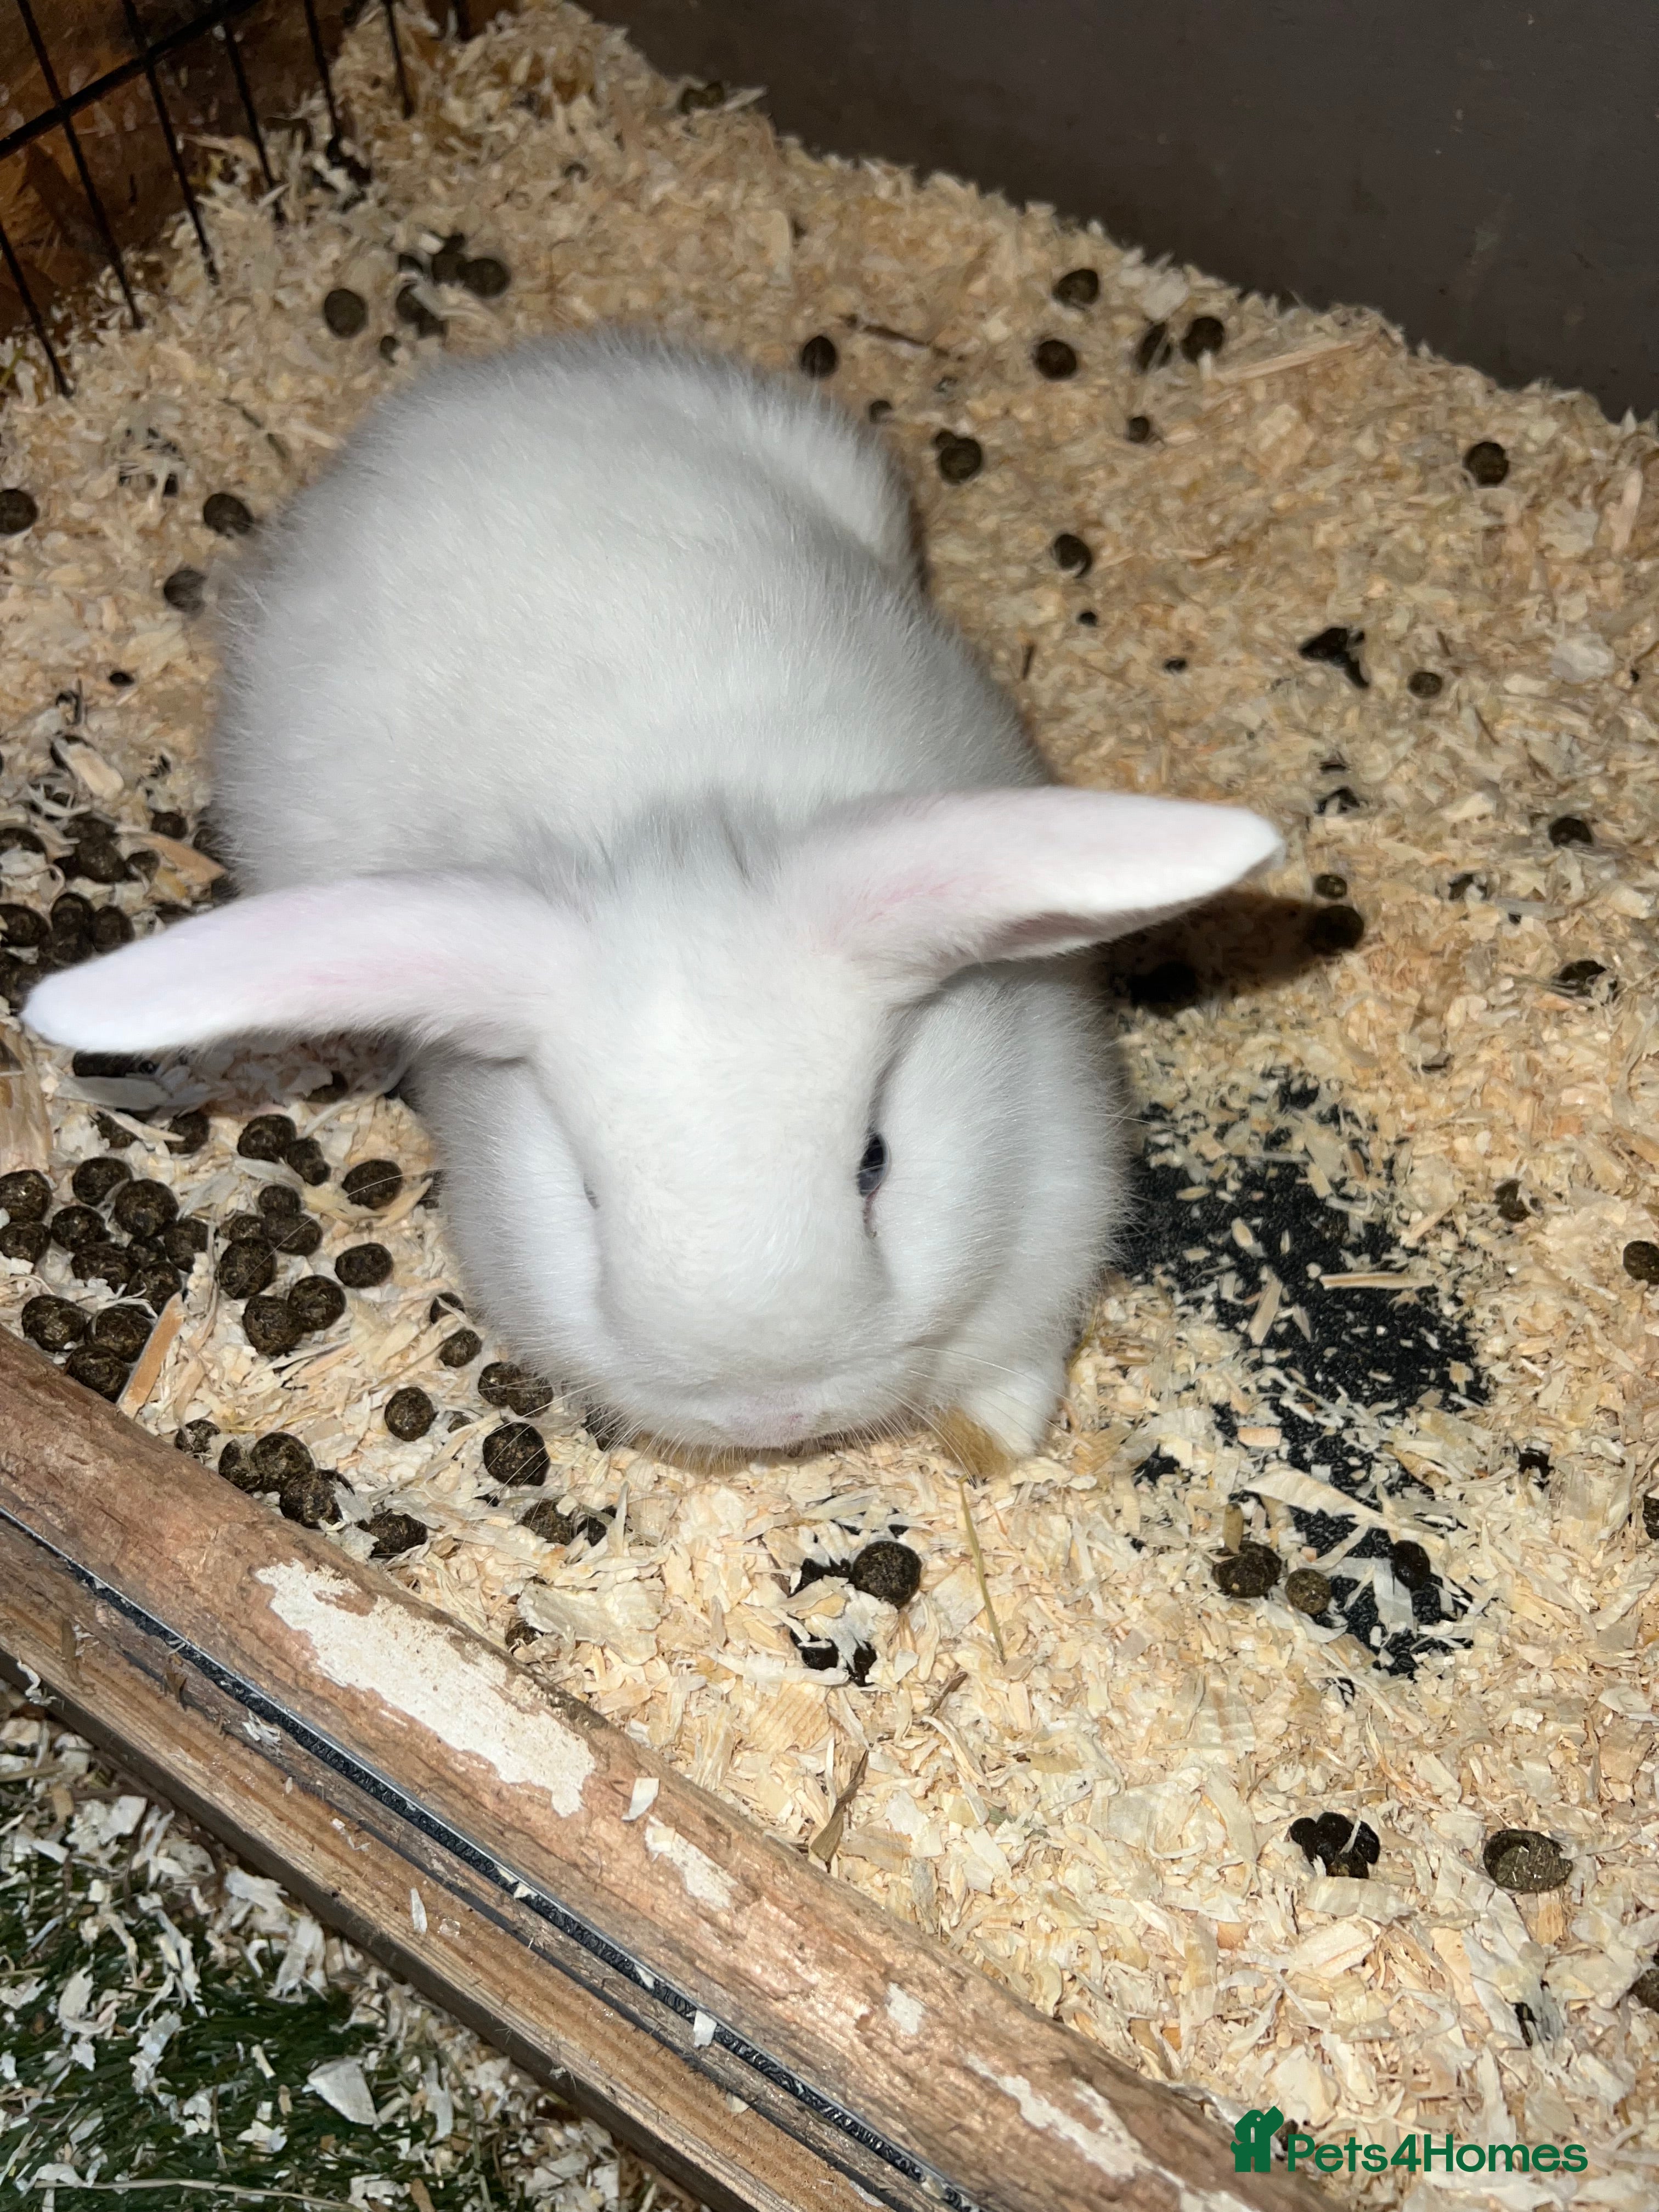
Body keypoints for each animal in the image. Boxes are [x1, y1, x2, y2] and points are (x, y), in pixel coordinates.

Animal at [26, 332, 1280, 1466]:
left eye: (875, 1162)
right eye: (586, 1194)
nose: (774, 1415)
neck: (677, 822)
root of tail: (466, 395)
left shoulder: (1053, 1186)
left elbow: (1012, 1358)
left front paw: (1001, 1441)